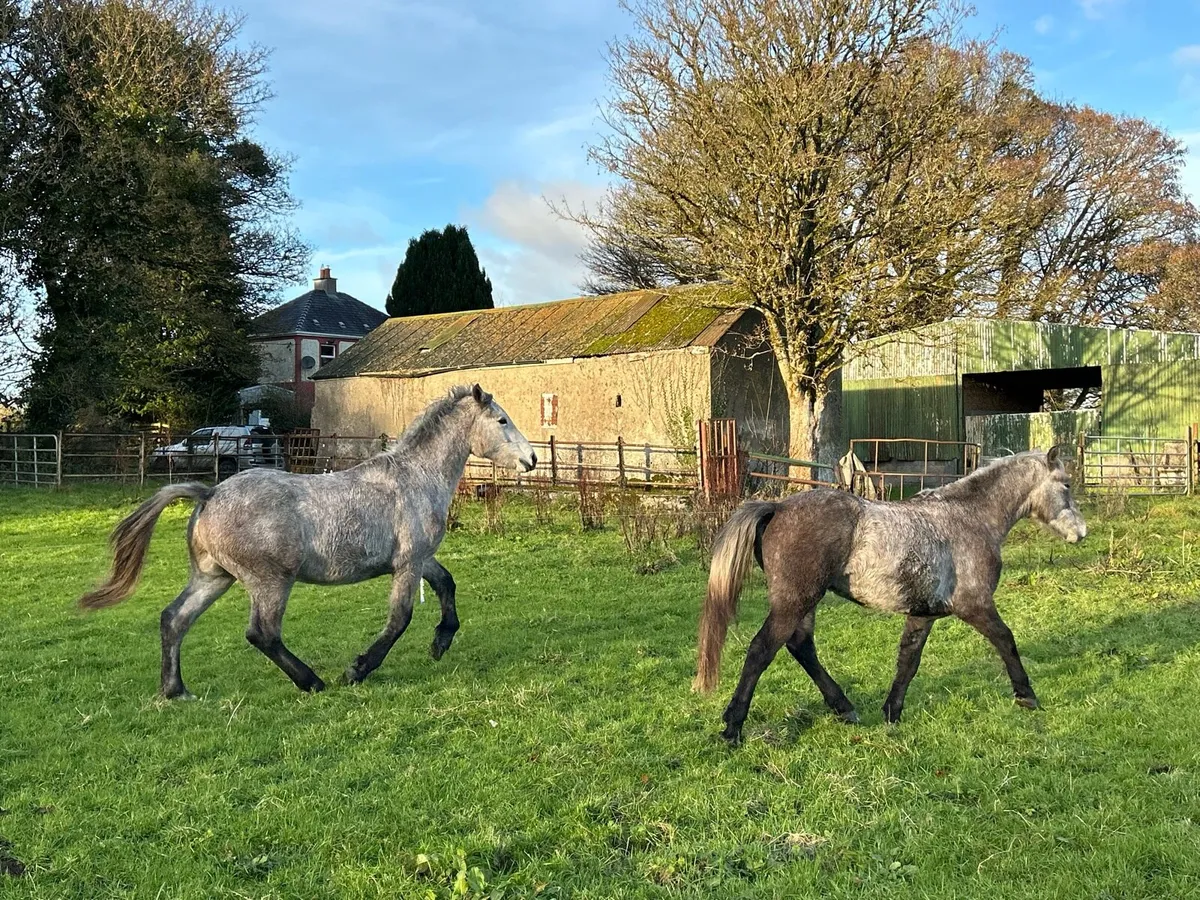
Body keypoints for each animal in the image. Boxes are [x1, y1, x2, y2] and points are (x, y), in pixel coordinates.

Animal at [79, 384, 536, 699]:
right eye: (502, 421)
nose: (531, 460)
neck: (416, 477)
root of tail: (209, 494)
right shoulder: (407, 564)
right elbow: (399, 619)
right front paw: (357, 670)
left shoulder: (419, 558)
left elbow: (447, 584)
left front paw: (441, 642)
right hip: (270, 581)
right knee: (261, 633)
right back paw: (312, 681)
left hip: (214, 577)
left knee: (174, 619)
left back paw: (176, 691)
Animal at [693, 448, 1087, 745]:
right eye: (1066, 484)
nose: (1082, 532)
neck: (969, 518)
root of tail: (778, 508)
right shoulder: (974, 605)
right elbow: (1006, 640)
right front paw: (1027, 695)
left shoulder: (924, 612)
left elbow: (908, 661)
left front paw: (892, 712)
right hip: (796, 600)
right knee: (762, 650)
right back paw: (733, 727)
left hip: (804, 602)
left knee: (801, 646)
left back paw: (843, 707)